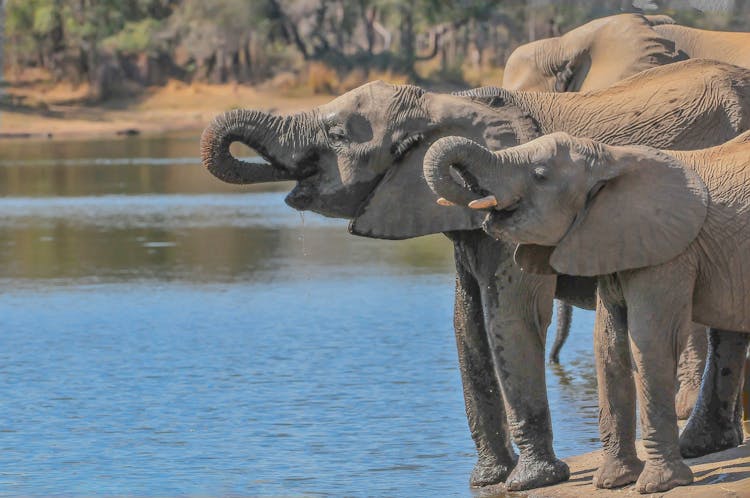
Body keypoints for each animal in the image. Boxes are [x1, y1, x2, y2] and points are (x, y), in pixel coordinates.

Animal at [424, 130, 750, 492]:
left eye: (540, 175)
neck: (611, 159)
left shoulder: (670, 252)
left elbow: (651, 343)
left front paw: (658, 484)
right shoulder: (613, 243)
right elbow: (608, 346)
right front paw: (613, 481)